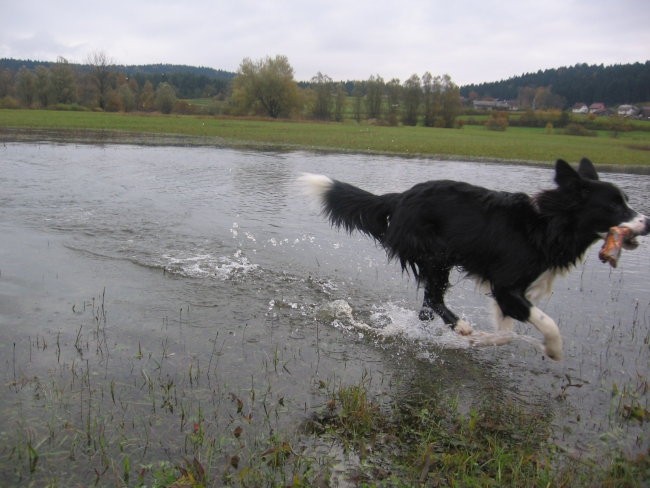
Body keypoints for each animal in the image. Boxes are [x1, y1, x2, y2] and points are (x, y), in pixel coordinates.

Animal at [302, 158, 644, 360]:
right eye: (613, 206)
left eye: (626, 201)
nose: (647, 221)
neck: (548, 223)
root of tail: (399, 197)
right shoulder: (506, 286)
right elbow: (548, 323)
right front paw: (553, 349)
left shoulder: (509, 293)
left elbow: (505, 335)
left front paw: (482, 341)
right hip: (436, 256)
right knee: (433, 301)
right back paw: (462, 327)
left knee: (426, 308)